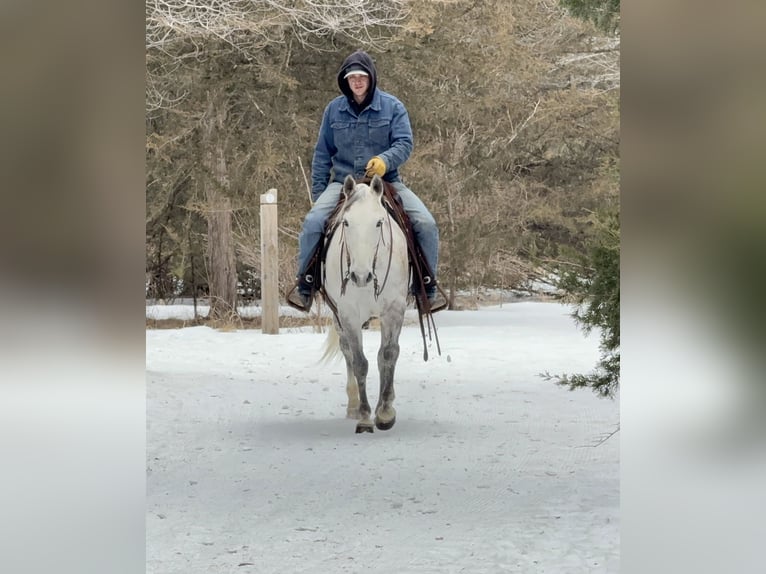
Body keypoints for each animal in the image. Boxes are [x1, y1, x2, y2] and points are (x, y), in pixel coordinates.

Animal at [320, 174, 409, 434]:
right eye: (346, 223)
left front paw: (385, 412)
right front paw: (365, 416)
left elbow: (388, 355)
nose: (360, 276)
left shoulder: (394, 310)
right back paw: (353, 405)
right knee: (347, 352)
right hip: (338, 318)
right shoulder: (348, 314)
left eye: (379, 223)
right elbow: (359, 362)